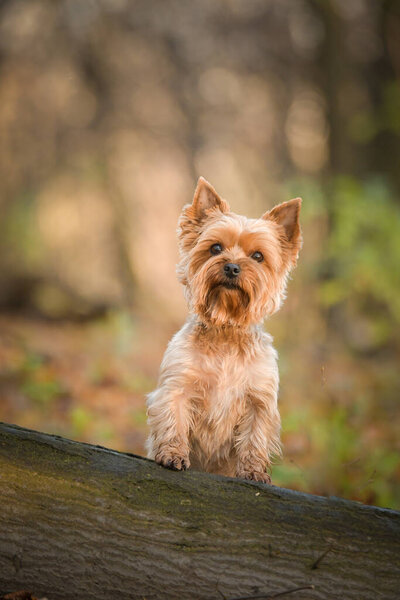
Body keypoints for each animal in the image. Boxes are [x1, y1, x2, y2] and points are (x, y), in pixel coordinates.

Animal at [146, 177, 300, 482]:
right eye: (215, 248)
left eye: (258, 256)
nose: (231, 266)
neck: (226, 328)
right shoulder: (178, 386)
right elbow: (173, 418)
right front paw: (173, 454)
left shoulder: (258, 401)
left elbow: (254, 437)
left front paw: (253, 471)